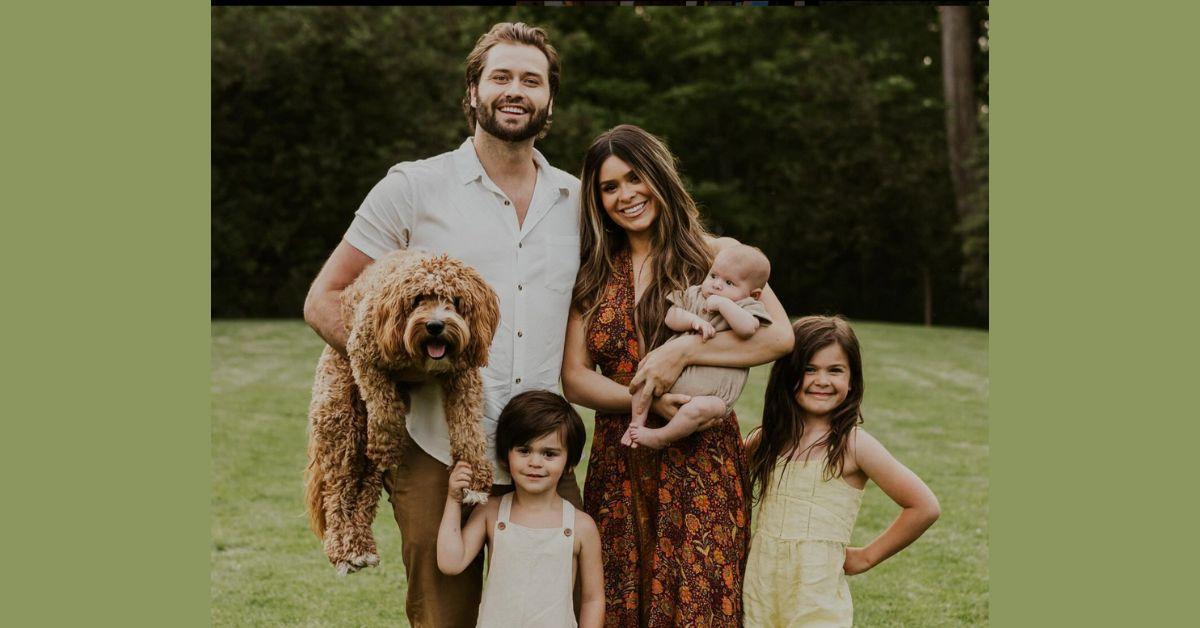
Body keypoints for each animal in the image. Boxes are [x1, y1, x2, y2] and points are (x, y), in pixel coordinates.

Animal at [309, 250, 501, 573]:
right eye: (418, 299)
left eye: (455, 300)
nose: (435, 325)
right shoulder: (365, 356)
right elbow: (385, 408)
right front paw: (388, 443)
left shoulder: (463, 377)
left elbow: (469, 427)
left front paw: (475, 474)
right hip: (341, 424)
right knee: (337, 494)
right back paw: (344, 551)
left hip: (362, 456)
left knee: (363, 493)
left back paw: (361, 547)